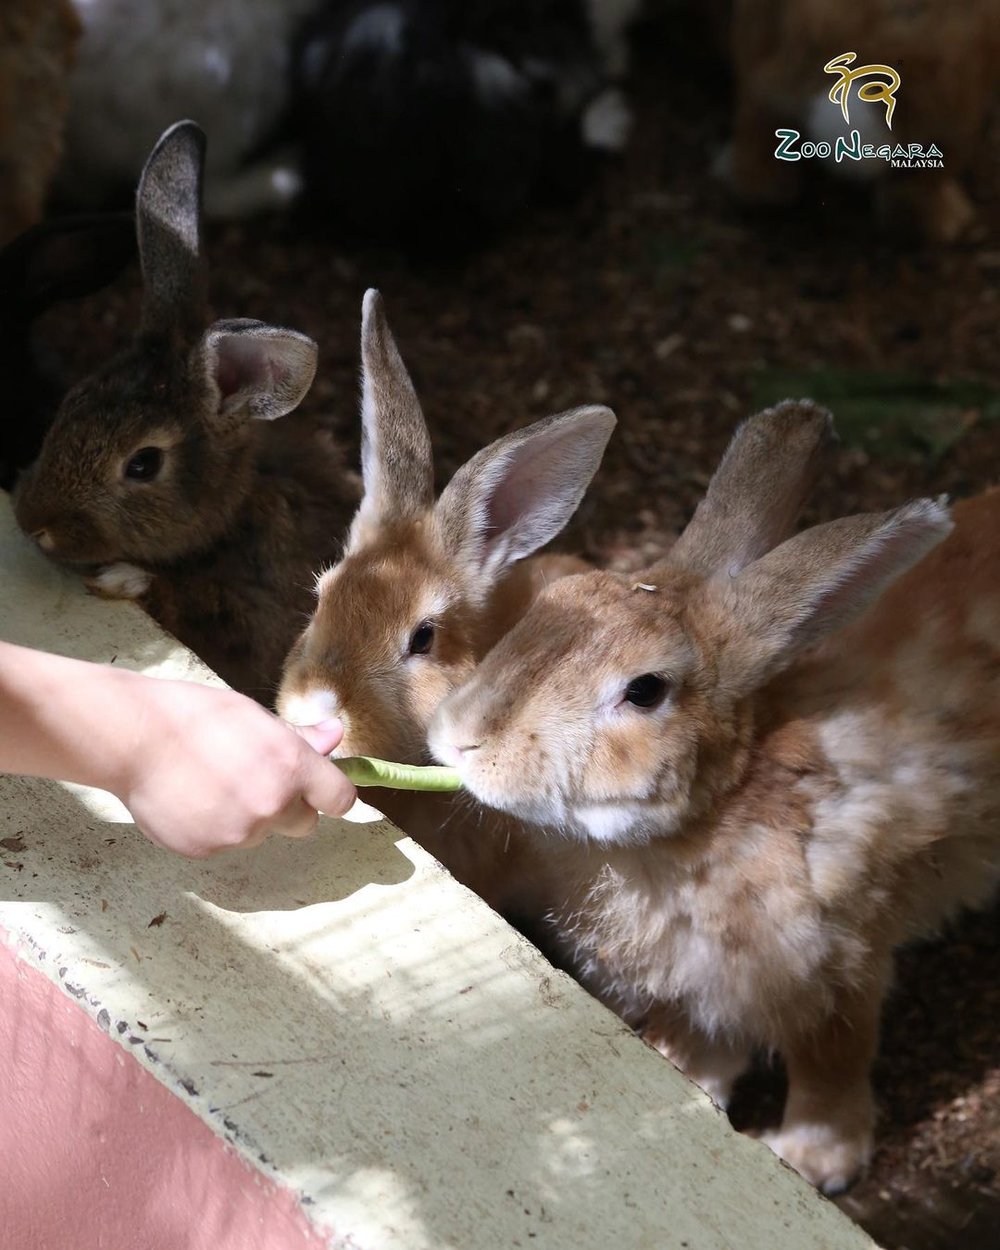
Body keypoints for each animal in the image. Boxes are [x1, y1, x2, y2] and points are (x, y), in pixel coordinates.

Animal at [430, 397, 1000, 1195]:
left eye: (645, 691)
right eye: (550, 604)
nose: (461, 740)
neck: (719, 811)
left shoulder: (838, 967)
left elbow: (832, 1064)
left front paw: (815, 1160)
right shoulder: (706, 993)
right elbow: (701, 1050)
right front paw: (685, 1086)